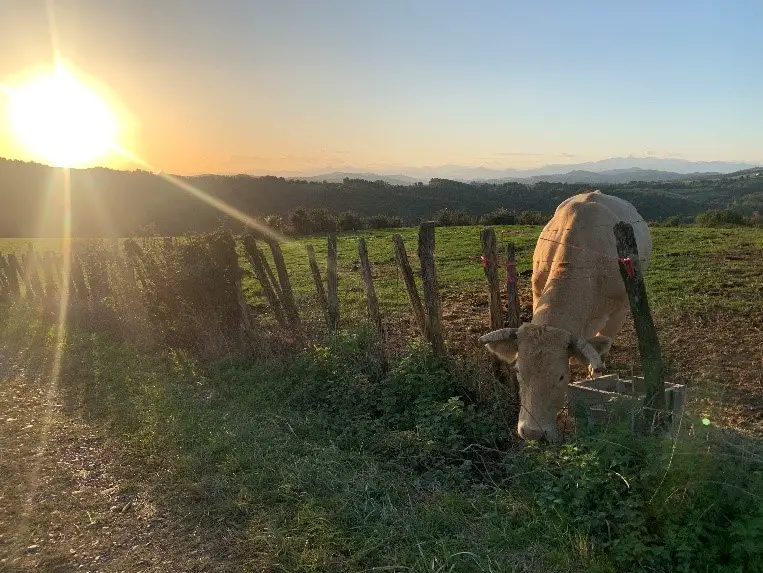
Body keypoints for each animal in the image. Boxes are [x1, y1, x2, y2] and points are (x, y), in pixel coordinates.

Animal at [478, 190, 652, 440]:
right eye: (519, 371)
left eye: (561, 376)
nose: (532, 432)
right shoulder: (537, 291)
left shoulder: (620, 310)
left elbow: (601, 349)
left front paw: (595, 373)